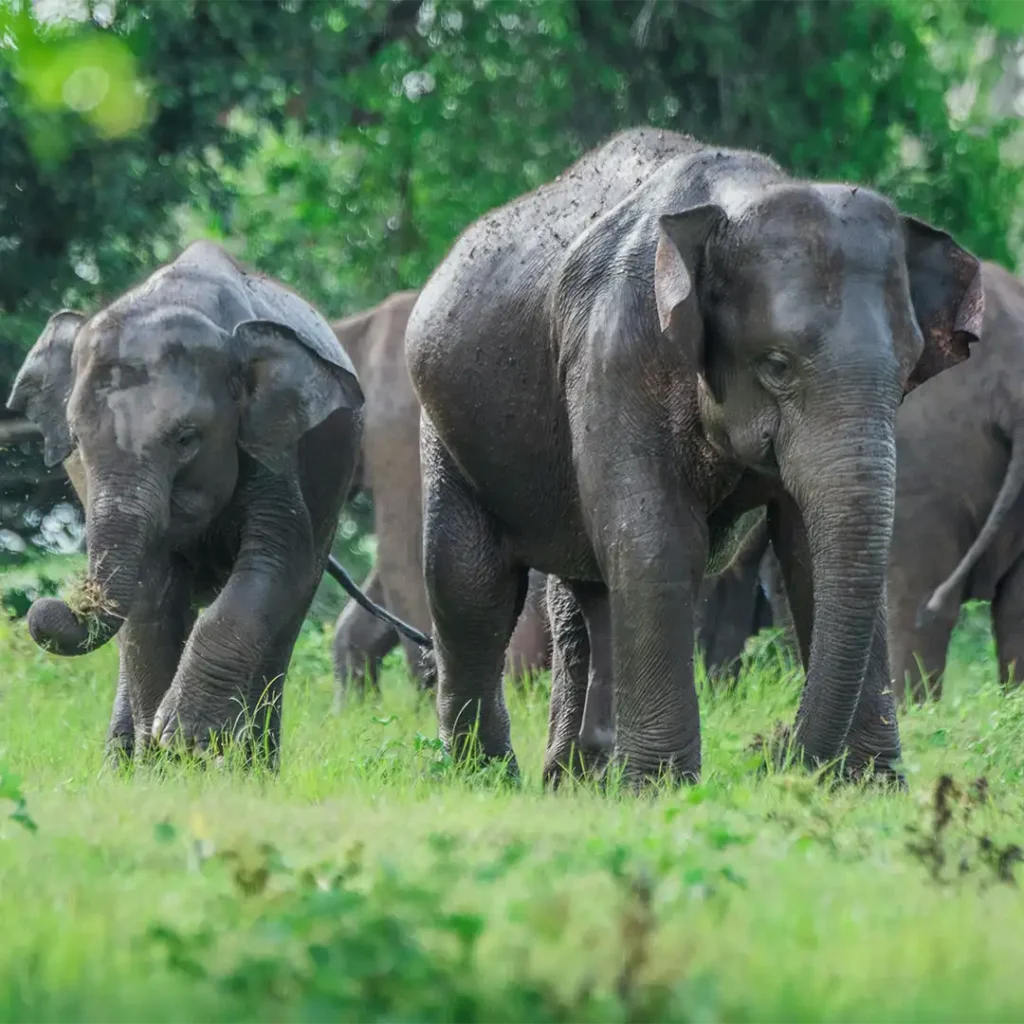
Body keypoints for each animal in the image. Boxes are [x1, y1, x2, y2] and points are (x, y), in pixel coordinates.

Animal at [8, 241, 423, 770]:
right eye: (76, 440)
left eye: (187, 439)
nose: (46, 605)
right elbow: (152, 597)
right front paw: (165, 764)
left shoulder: (273, 445)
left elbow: (276, 560)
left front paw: (187, 741)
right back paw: (125, 765)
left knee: (287, 617)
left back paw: (254, 768)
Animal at [405, 125, 983, 782]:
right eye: (776, 364)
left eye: (908, 370)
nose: (774, 753)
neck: (737, 198)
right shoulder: (615, 350)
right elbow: (657, 538)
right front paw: (662, 787)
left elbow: (807, 549)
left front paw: (871, 786)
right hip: (445, 427)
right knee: (469, 587)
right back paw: (488, 777)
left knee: (582, 590)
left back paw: (577, 779)